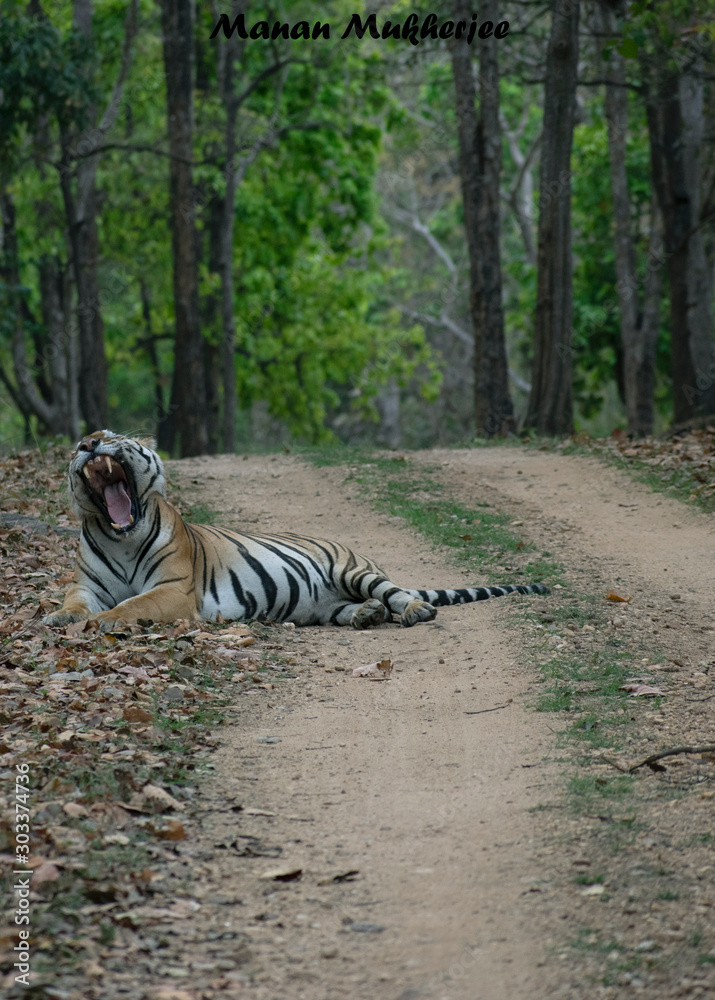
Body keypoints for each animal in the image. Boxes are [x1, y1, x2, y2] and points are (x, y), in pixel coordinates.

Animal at [42, 431, 549, 633]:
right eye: (80, 443)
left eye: (110, 435)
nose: (89, 443)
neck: (120, 537)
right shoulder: (87, 584)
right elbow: (73, 601)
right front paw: (60, 618)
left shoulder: (174, 590)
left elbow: (134, 604)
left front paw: (107, 620)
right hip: (321, 605)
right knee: (351, 609)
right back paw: (367, 616)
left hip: (353, 570)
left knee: (397, 592)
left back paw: (414, 611)